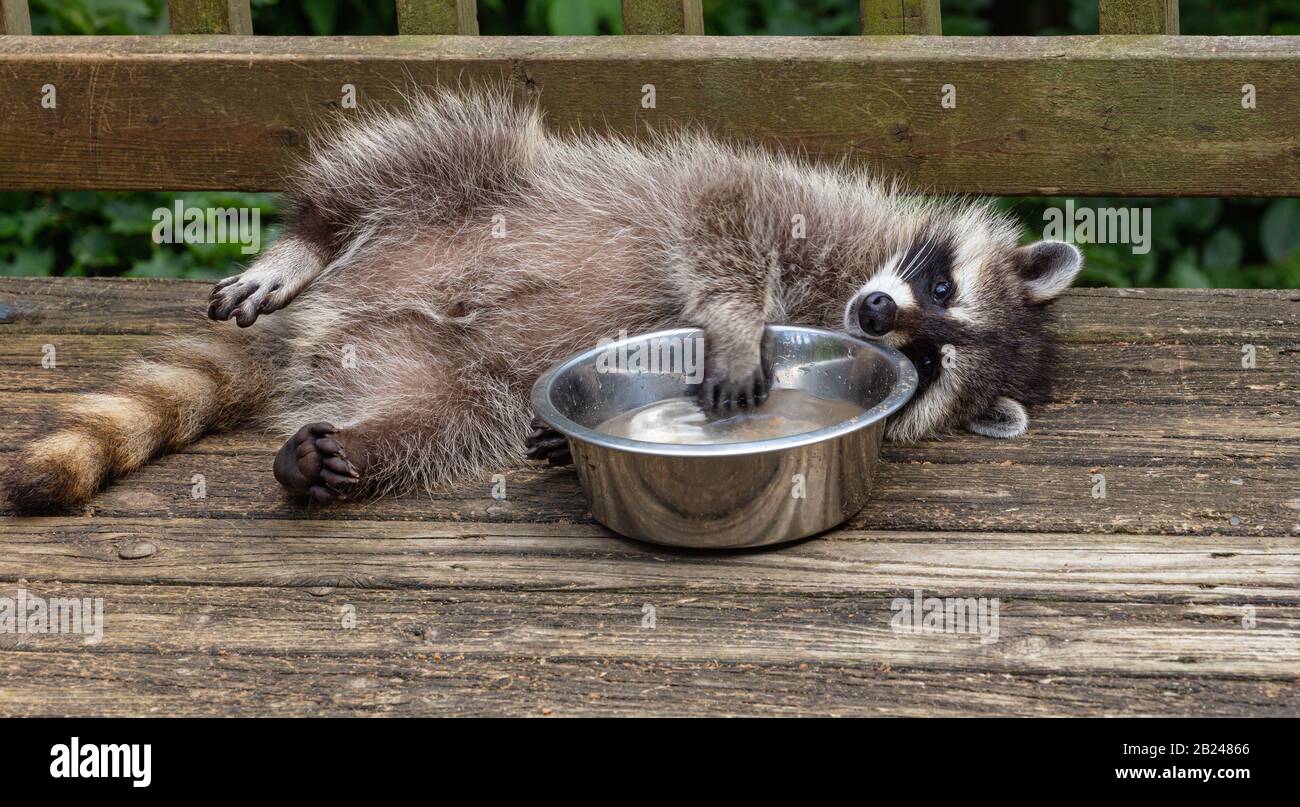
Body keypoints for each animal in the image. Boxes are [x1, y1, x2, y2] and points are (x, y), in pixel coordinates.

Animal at [0, 88, 1081, 509]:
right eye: (937, 282)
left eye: (933, 360)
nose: (876, 317)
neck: (837, 288)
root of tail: (322, 320)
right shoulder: (801, 205)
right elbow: (720, 209)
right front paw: (736, 328)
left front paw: (562, 443)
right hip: (477, 189)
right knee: (427, 147)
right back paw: (307, 237)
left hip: (432, 368)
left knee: (438, 417)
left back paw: (345, 452)